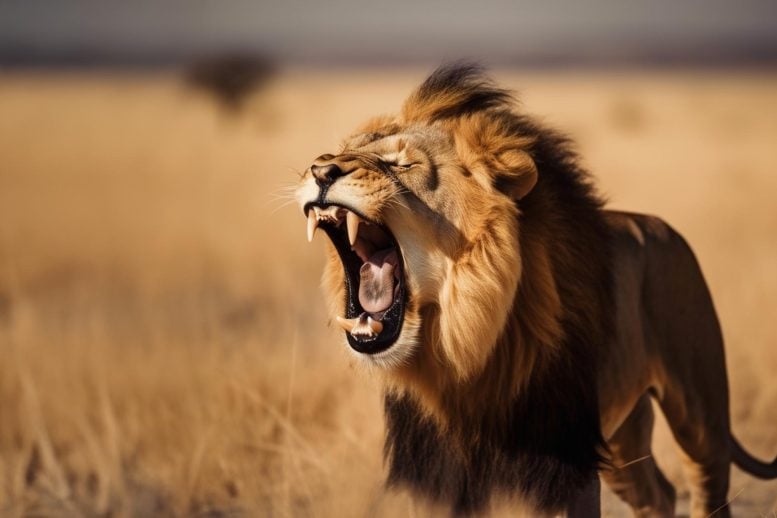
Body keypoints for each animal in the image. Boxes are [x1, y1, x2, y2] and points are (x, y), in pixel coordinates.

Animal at [294, 64, 777, 517]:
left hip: (699, 412)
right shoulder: (433, 472)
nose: (320, 169)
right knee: (657, 493)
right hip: (622, 437)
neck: (460, 349)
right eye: (342, 150)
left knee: (706, 484)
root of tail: (657, 224)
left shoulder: (567, 461)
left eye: (403, 165)